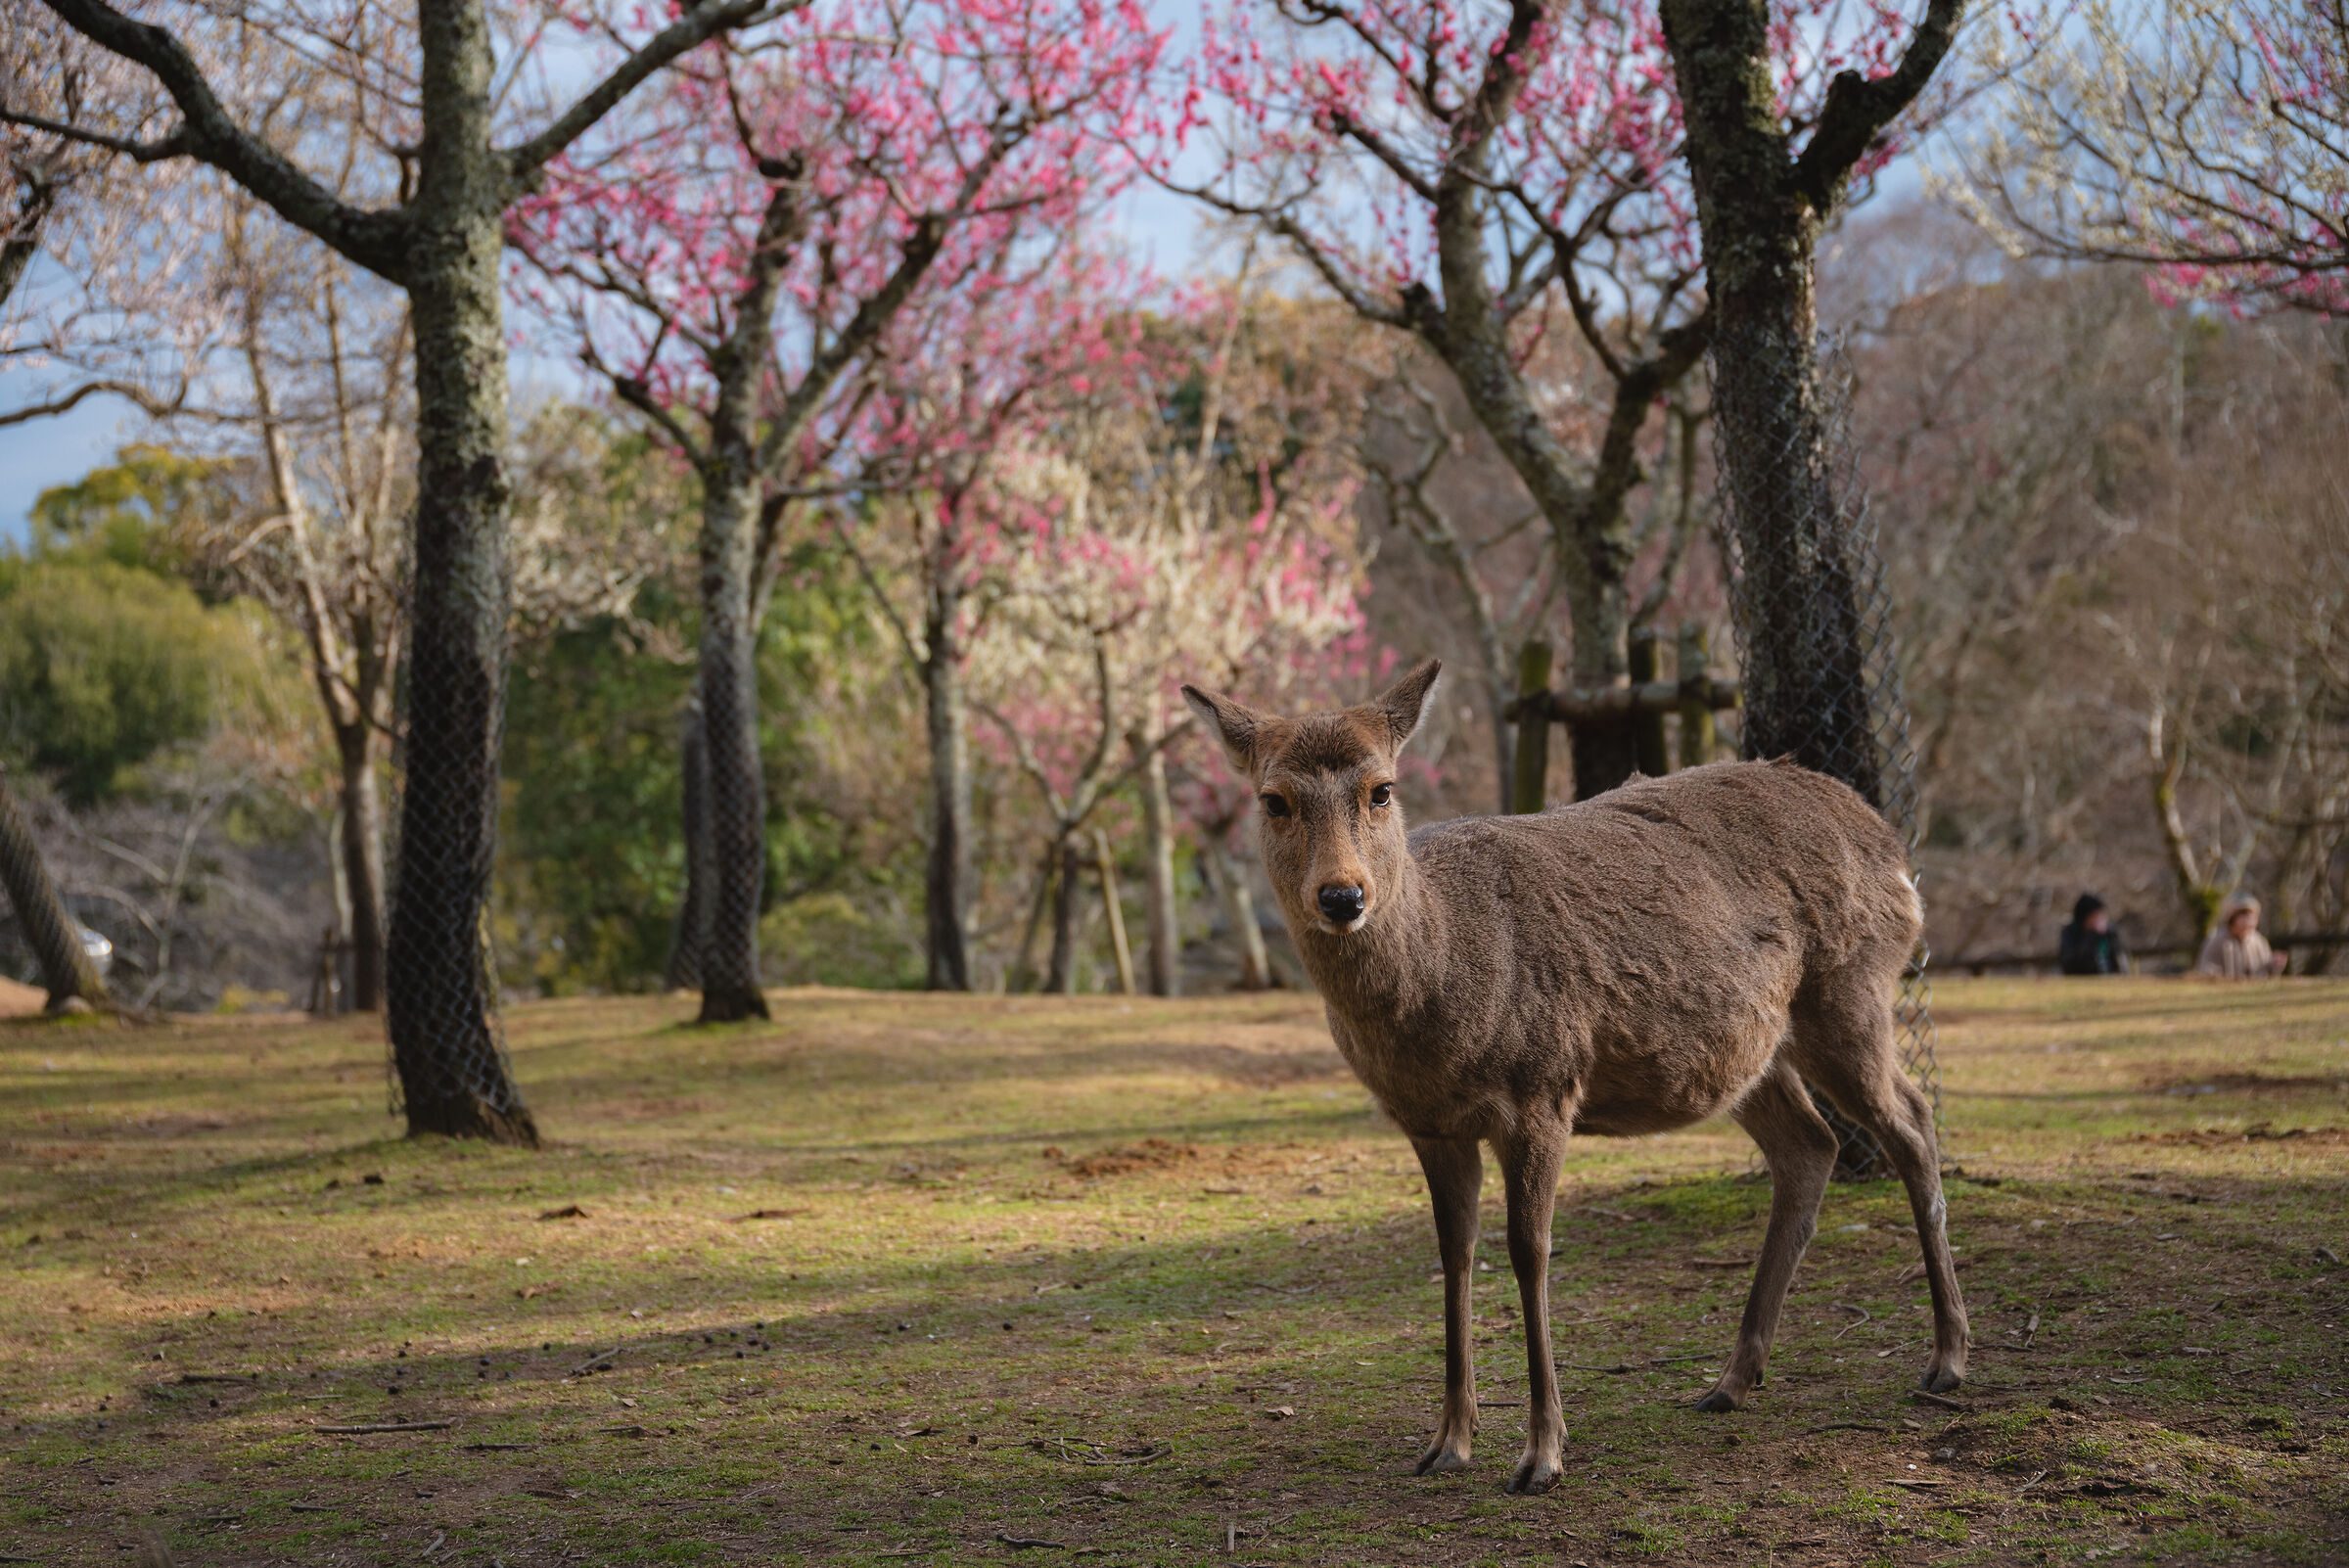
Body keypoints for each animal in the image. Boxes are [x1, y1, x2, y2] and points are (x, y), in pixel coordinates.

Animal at [1180, 658, 1967, 1496]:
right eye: (1274, 800)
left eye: (1380, 789)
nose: (1342, 895)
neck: (1445, 999)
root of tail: (1894, 850)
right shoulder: (1428, 1124)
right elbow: (1453, 1254)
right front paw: (1447, 1443)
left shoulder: (1544, 1088)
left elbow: (1531, 1251)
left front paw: (1542, 1455)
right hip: (1753, 1054)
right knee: (1811, 1146)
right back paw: (1731, 1381)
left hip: (1850, 990)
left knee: (1912, 1119)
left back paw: (1946, 1359)